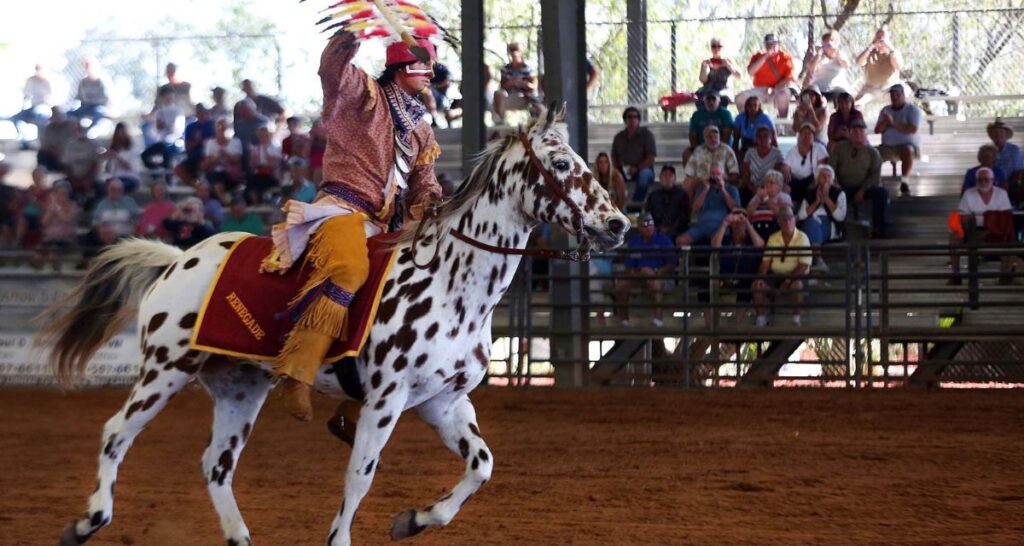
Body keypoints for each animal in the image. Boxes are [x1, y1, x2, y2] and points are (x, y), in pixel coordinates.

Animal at [44, 106, 626, 544]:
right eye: (560, 162)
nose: (618, 223)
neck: (451, 283)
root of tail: (177, 259)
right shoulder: (386, 399)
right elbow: (359, 476)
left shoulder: (443, 402)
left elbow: (481, 465)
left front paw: (414, 520)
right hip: (165, 370)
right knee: (116, 433)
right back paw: (87, 521)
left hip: (239, 388)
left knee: (216, 464)